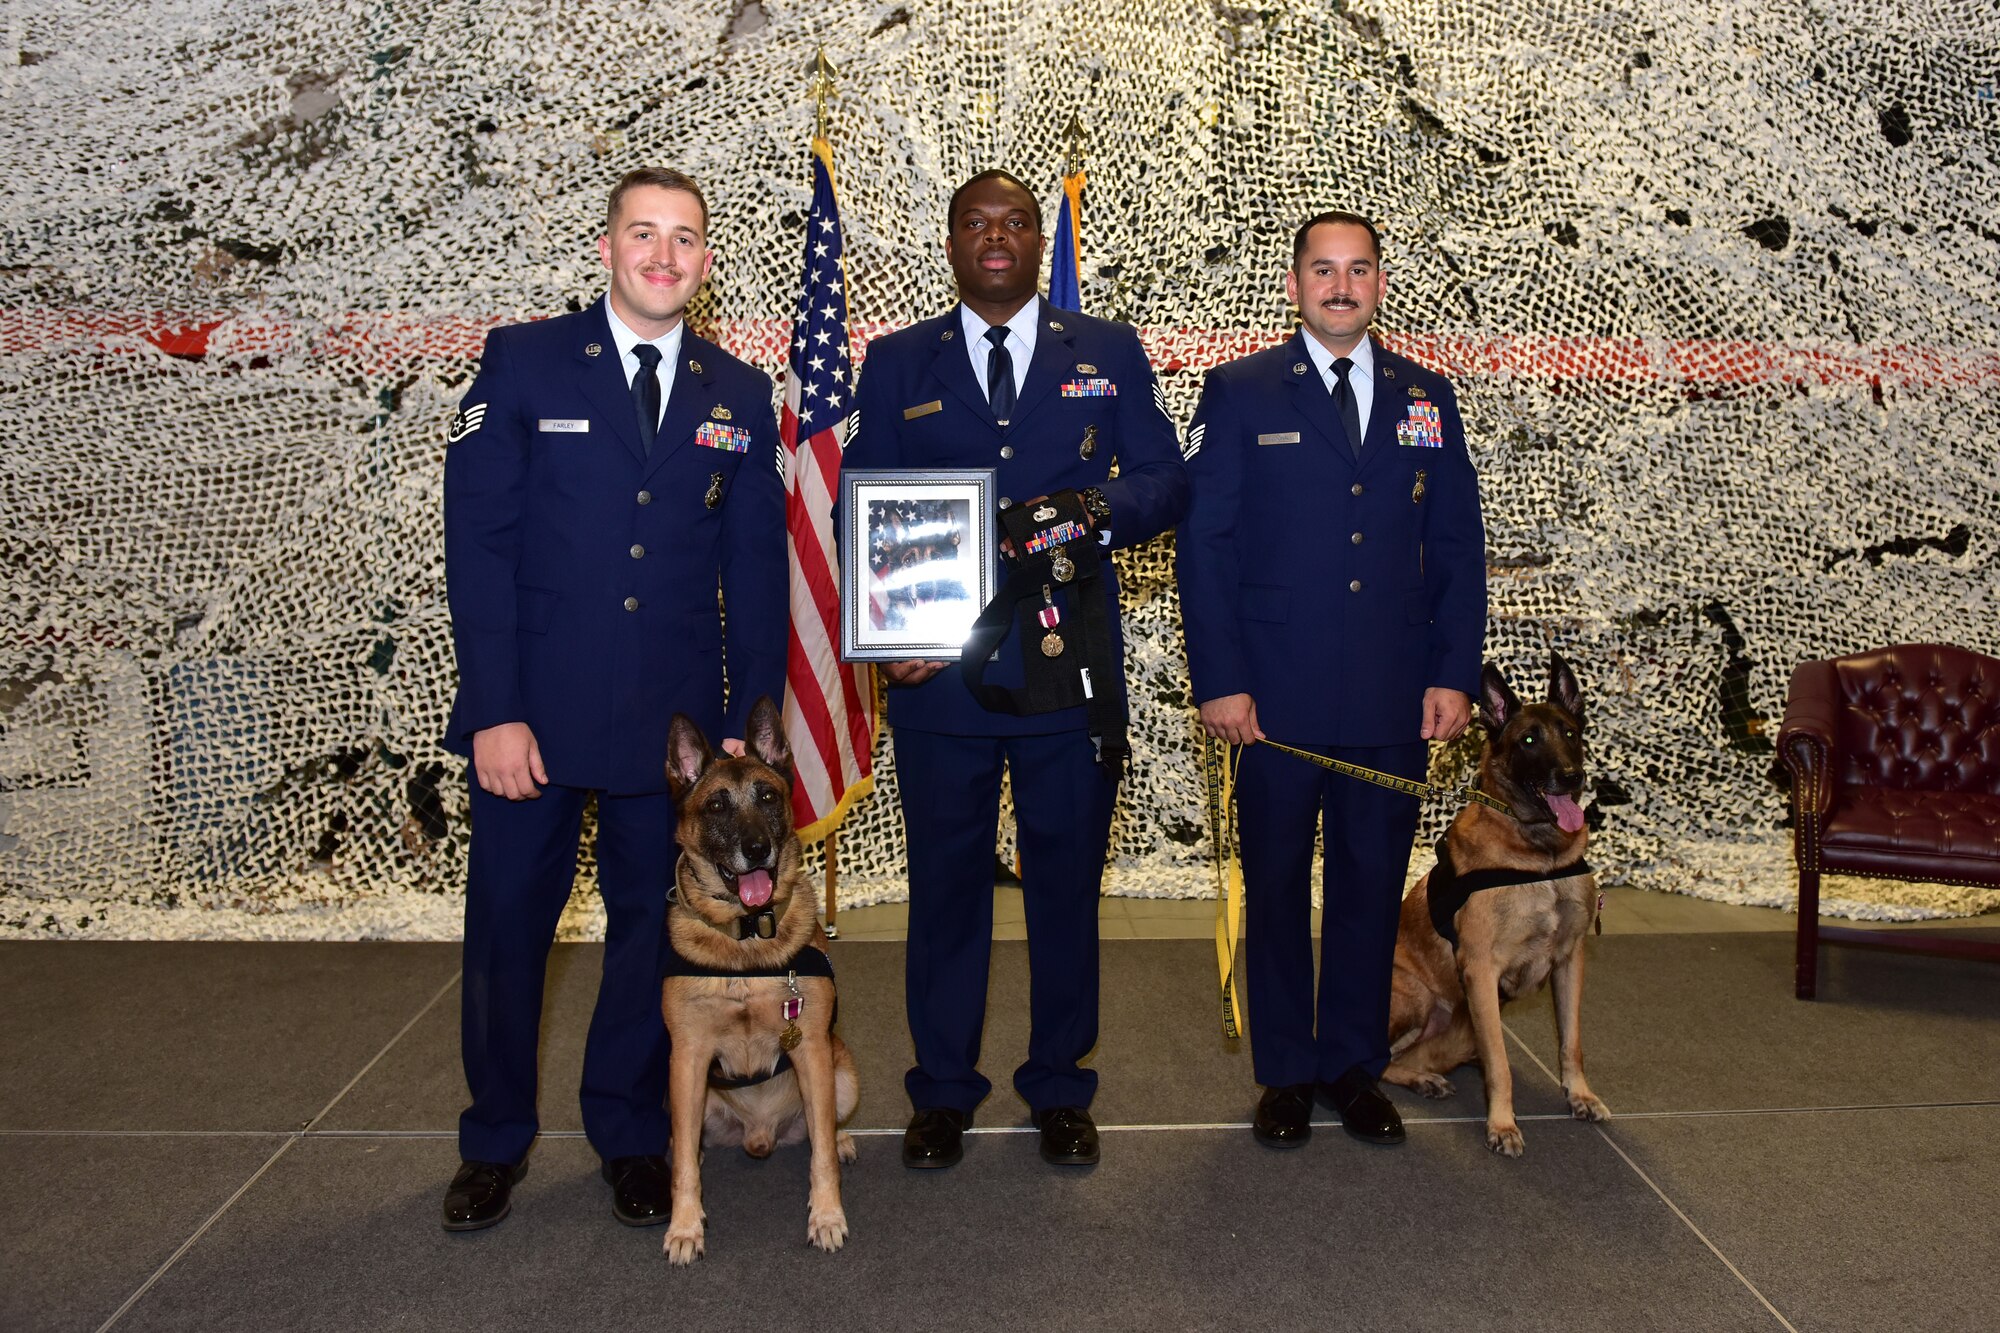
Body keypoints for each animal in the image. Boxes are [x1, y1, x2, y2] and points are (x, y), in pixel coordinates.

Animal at [660, 688, 856, 1264]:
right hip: (677, 1094)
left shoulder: (811, 1047)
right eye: (716, 805)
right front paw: (685, 1226)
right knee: (686, 1146)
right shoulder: (688, 1058)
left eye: (768, 797)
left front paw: (827, 1215)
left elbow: (821, 1159)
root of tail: (760, 1135)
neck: (745, 937)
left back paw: (840, 1138)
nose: (756, 850)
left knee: (822, 1129)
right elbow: (686, 1167)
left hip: (842, 1072)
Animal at [1392, 652, 1608, 1152]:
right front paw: (1502, 1123)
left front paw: (1580, 1095)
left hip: (1458, 1035)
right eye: (1528, 740)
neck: (1541, 858)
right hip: (1417, 998)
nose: (1572, 777)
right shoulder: (1481, 972)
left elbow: (1572, 1043)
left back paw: (1425, 1077)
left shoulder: (1571, 961)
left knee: (1405, 1060)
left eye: (1571, 733)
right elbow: (1501, 1064)